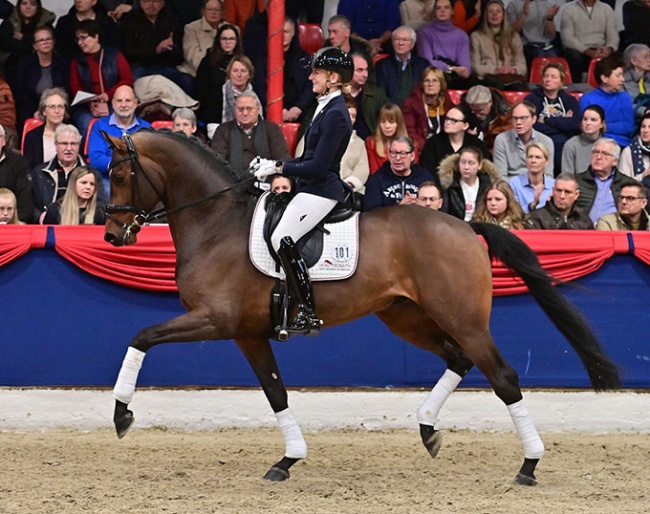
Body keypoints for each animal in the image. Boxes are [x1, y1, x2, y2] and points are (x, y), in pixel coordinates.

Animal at [101, 129, 616, 484]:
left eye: (121, 175)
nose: (111, 236)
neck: (215, 222)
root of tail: (467, 227)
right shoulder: (247, 334)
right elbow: (276, 393)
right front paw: (288, 459)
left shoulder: (215, 319)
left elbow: (140, 338)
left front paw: (122, 416)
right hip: (405, 317)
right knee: (458, 359)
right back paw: (428, 430)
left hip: (464, 320)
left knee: (503, 377)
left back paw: (528, 465)